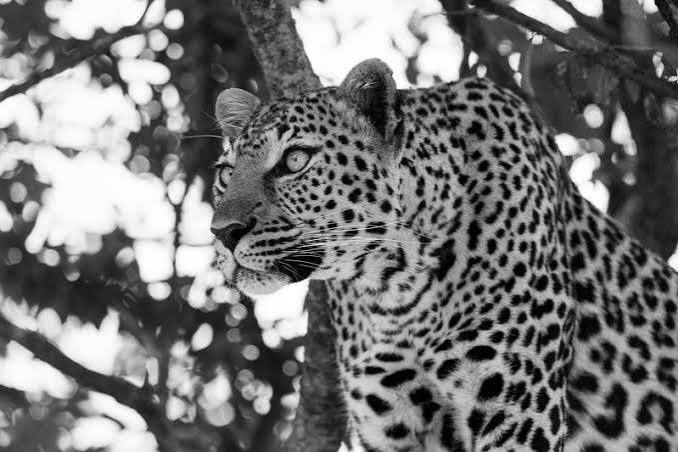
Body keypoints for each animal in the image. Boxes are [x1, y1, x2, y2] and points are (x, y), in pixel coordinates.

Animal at [210, 59, 678, 451]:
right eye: (225, 173)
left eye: (295, 160)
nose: (223, 232)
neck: (393, 287)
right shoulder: (390, 426)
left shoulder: (521, 407)